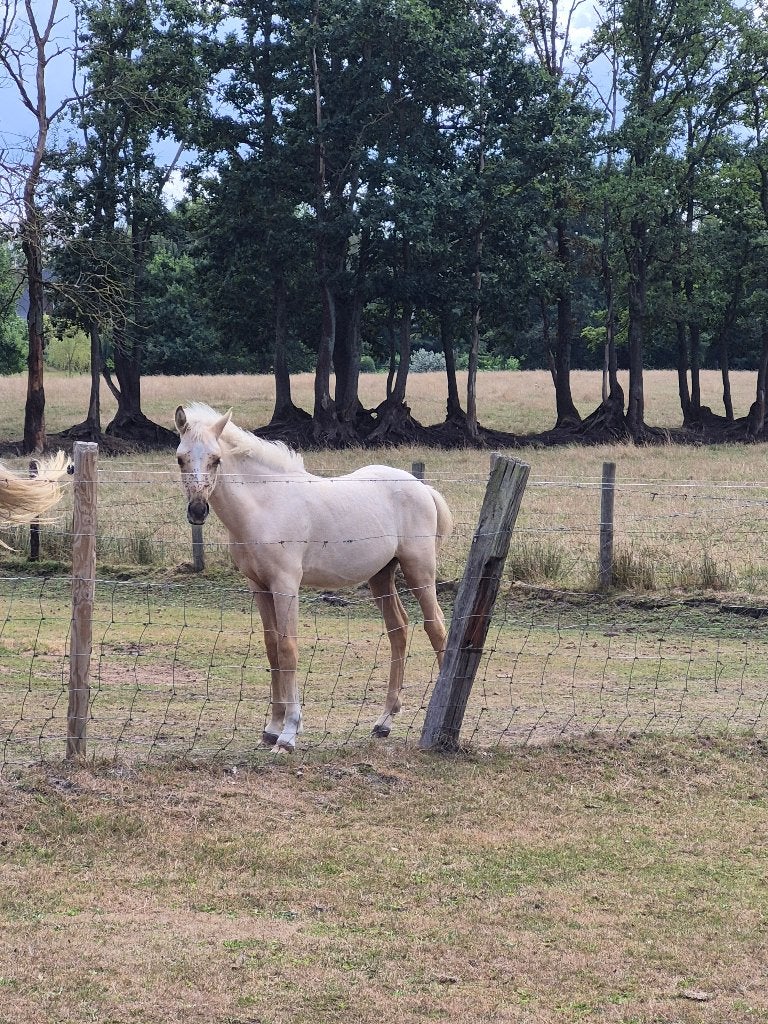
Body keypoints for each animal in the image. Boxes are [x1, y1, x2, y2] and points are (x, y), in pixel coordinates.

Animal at [174, 403, 453, 752]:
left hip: (419, 570)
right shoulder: (259, 587)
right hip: (381, 576)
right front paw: (272, 727)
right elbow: (271, 647)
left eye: (216, 459)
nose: (197, 510)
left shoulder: (285, 585)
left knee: (436, 628)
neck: (266, 505)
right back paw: (384, 722)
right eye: (180, 458)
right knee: (398, 630)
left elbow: (287, 648)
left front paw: (289, 734)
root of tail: (422, 487)